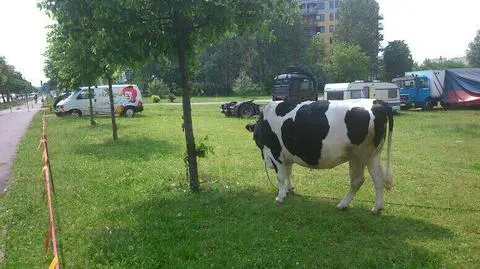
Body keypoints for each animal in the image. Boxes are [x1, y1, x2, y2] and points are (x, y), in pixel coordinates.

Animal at [248, 97, 394, 213]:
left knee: (357, 180)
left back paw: (343, 204)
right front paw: (289, 189)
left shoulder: (276, 152)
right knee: (378, 178)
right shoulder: (287, 155)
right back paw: (377, 208)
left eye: (255, 138)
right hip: (373, 155)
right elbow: (288, 172)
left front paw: (280, 196)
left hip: (357, 156)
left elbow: (281, 176)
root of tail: (376, 102)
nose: (265, 159)